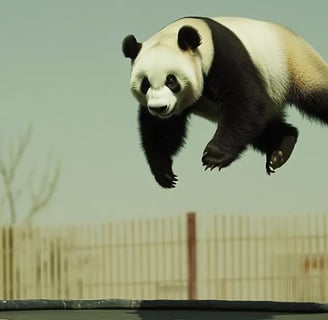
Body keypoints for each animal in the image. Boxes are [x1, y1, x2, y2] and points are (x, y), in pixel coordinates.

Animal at [121, 16, 328, 188]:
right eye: (145, 83)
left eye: (171, 81)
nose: (159, 108)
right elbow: (161, 129)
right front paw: (164, 172)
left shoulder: (223, 58)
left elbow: (245, 100)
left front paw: (213, 156)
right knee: (261, 126)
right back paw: (281, 147)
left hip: (296, 66)